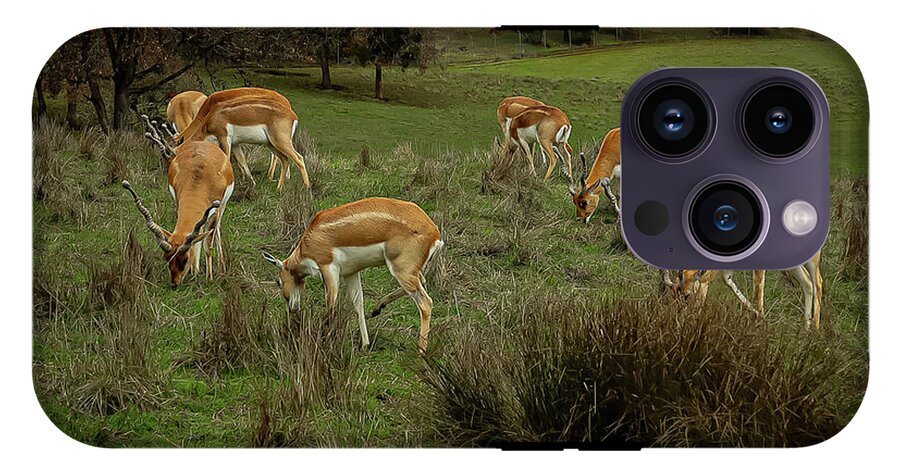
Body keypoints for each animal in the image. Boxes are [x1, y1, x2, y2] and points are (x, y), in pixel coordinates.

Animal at [122, 140, 235, 287]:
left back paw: (221, 265)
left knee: (216, 230)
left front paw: (209, 278)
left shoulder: (214, 211)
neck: (199, 178)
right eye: (167, 258)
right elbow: (195, 239)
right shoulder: (178, 202)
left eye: (185, 259)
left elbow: (208, 246)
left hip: (222, 207)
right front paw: (194, 272)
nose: (174, 283)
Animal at [173, 87, 309, 190]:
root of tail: (293, 115)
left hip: (279, 142)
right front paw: (250, 182)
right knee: (285, 159)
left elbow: (227, 159)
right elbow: (242, 160)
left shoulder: (224, 138)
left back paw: (305, 188)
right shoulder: (235, 144)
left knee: (298, 158)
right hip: (272, 143)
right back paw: (279, 186)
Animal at [262, 197, 443, 353]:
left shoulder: (329, 269)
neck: (310, 239)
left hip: (401, 270)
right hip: (410, 271)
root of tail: (434, 233)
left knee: (425, 303)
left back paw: (421, 351)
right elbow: (358, 303)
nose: (292, 308)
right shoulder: (351, 273)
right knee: (422, 283)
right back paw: (378, 308)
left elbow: (331, 305)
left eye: (278, 281)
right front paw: (365, 345)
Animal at [662, 251, 824, 330]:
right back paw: (805, 330)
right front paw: (759, 318)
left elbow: (758, 292)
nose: (680, 323)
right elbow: (728, 281)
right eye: (673, 295)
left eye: (687, 296)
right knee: (807, 282)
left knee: (818, 282)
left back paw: (815, 331)